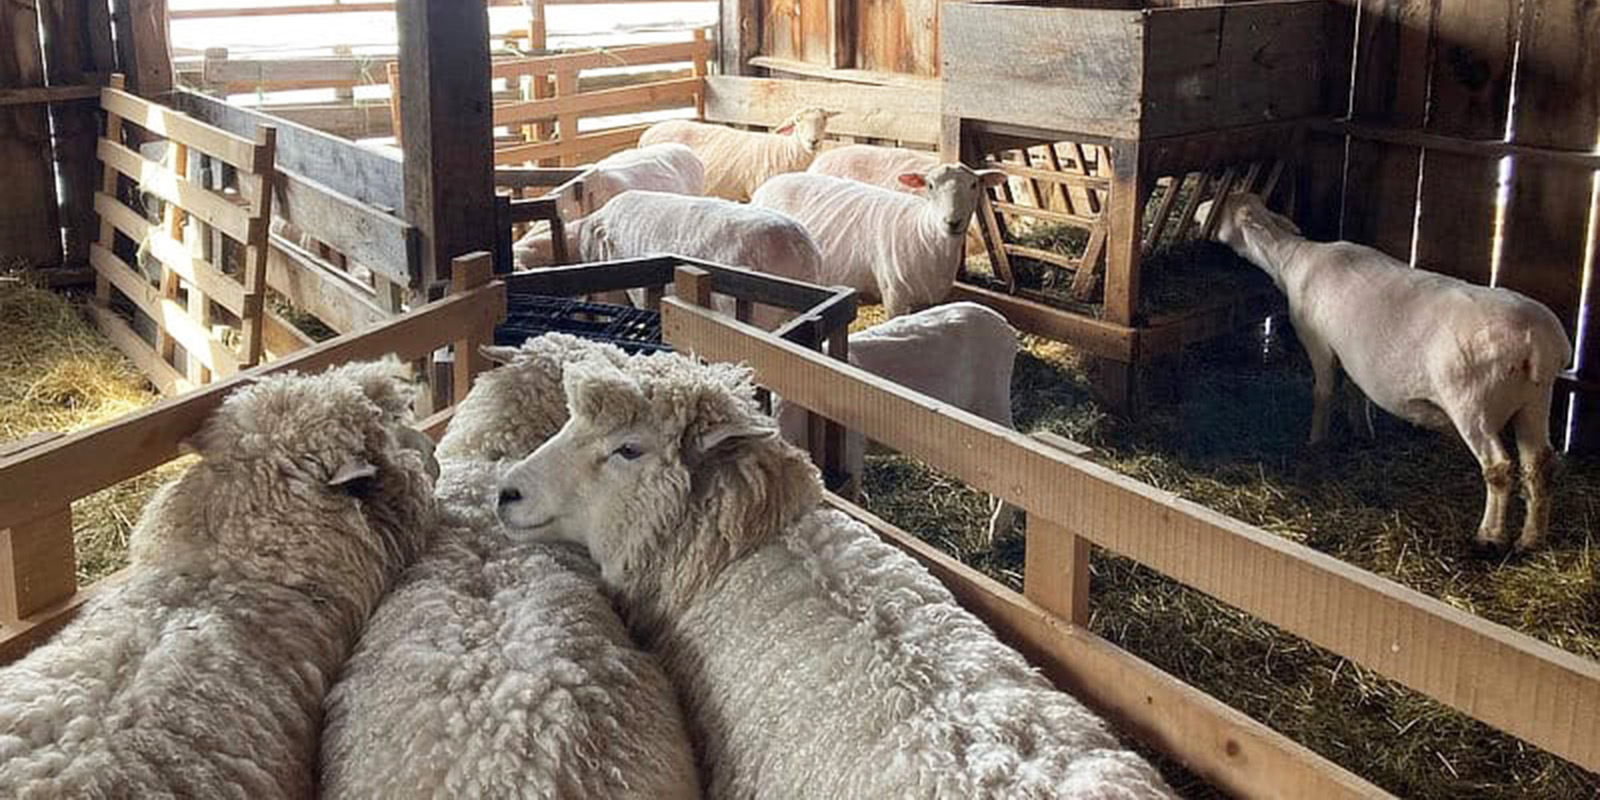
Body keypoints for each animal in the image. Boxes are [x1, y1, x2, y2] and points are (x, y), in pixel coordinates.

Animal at [751, 165, 1007, 318]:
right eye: (930, 185)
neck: (923, 232)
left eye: (974, 185)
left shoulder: (928, 301)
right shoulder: (895, 295)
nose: (952, 222)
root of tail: (770, 183)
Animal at [1197, 192, 1574, 553]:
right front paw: (1363, 432)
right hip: (1535, 400)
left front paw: (1316, 442)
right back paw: (1531, 539)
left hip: (1471, 403)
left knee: (1498, 467)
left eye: (1224, 200)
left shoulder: (1320, 345)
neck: (1291, 259)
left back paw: (1490, 536)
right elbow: (1355, 392)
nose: (1200, 210)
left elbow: (1324, 393)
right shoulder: (1352, 354)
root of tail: (1536, 343)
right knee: (1539, 464)